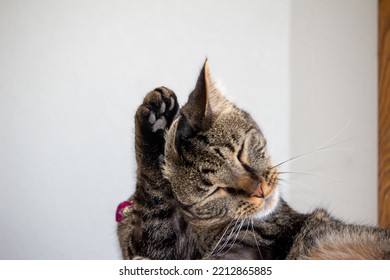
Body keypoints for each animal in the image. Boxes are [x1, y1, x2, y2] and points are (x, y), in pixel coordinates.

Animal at [117, 60, 390, 260]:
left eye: (240, 152)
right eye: (215, 190)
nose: (258, 190)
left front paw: (157, 121)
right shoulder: (151, 246)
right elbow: (152, 203)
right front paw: (155, 128)